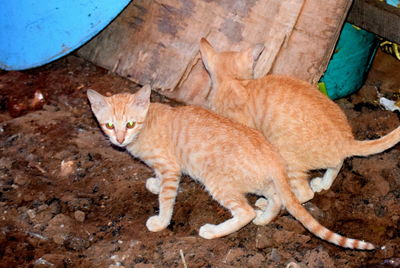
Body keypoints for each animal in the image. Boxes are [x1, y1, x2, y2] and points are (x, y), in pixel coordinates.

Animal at [86, 85, 376, 249]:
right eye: (109, 125)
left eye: (130, 124)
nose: (119, 140)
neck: (147, 125)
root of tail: (272, 152)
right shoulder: (165, 167)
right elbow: (158, 182)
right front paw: (153, 184)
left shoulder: (170, 168)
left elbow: (167, 200)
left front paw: (160, 221)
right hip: (256, 181)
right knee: (277, 198)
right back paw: (264, 216)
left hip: (218, 183)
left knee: (246, 211)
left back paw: (215, 231)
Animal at [199, 37, 400, 204]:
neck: (233, 81)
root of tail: (346, 141)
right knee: (337, 163)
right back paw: (324, 183)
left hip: (285, 155)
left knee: (304, 194)